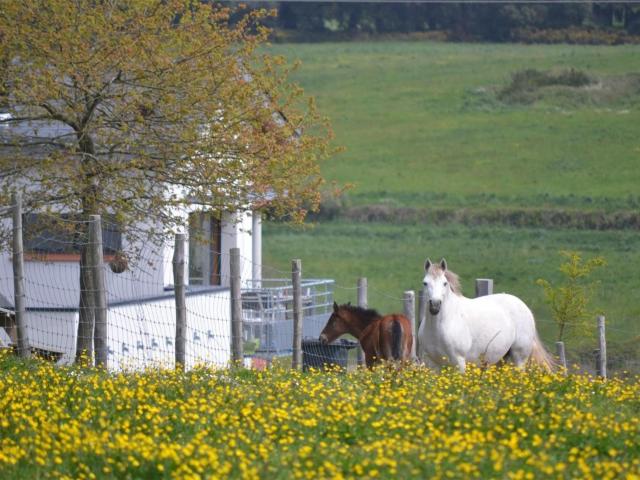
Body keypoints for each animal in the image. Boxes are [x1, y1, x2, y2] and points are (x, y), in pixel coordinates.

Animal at [418, 256, 552, 374]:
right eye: (425, 283)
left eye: (445, 283)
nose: (435, 306)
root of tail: (524, 307)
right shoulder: (433, 364)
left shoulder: (459, 362)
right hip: (500, 360)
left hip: (519, 358)